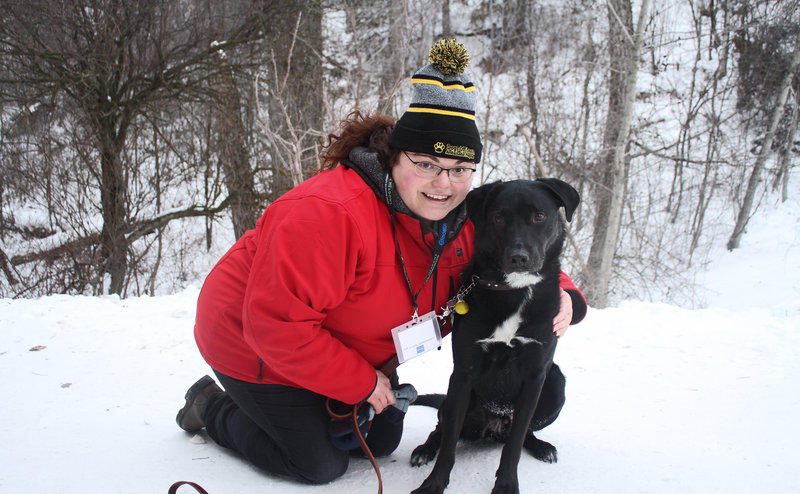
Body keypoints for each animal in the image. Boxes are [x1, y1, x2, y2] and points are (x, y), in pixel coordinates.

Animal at [412, 178, 580, 494]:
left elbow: (514, 446)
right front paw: (433, 484)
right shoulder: (464, 372)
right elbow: (448, 445)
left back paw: (541, 446)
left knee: (521, 433)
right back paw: (425, 449)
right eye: (499, 218)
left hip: (555, 383)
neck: (513, 290)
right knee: (441, 428)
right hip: (456, 401)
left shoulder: (536, 375)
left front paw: (506, 485)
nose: (519, 257)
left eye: (540, 216)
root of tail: (492, 429)